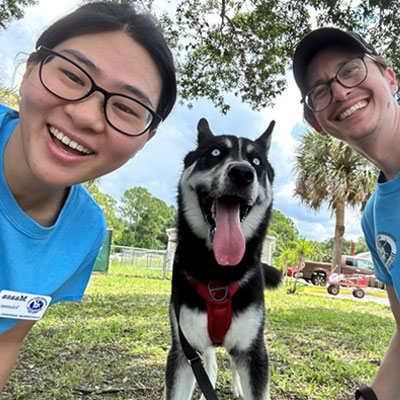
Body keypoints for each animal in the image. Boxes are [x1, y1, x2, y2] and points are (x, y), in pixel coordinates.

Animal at [166, 119, 282, 400]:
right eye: (215, 152)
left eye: (257, 161)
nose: (242, 173)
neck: (218, 271)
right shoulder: (184, 350)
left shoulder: (253, 350)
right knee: (211, 361)